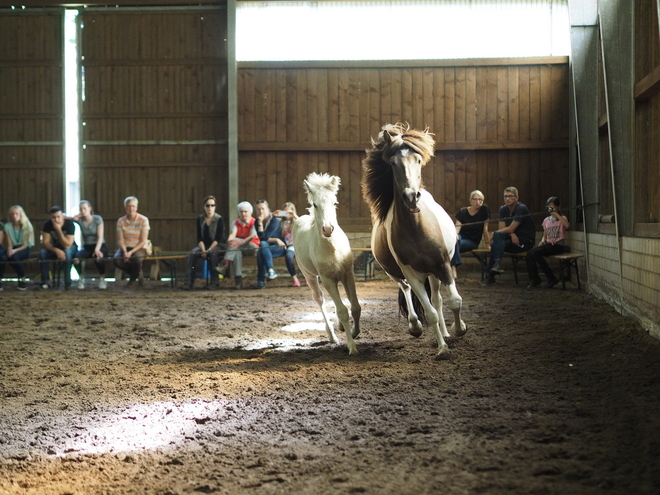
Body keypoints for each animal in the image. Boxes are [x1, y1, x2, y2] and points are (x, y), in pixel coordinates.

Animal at [292, 172, 360, 354]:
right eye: (315, 204)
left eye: (334, 202)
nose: (328, 229)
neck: (332, 247)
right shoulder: (327, 279)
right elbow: (342, 310)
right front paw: (352, 346)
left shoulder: (348, 273)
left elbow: (355, 306)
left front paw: (354, 332)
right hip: (310, 275)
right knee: (320, 299)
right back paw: (332, 335)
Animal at [364, 122, 466, 358]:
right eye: (393, 163)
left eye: (418, 160)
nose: (412, 196)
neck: (416, 230)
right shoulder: (411, 273)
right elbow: (429, 313)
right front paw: (442, 349)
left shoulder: (443, 265)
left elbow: (454, 301)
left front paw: (459, 330)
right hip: (398, 274)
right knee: (407, 291)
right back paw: (416, 326)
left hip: (434, 274)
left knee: (438, 299)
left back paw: (446, 332)